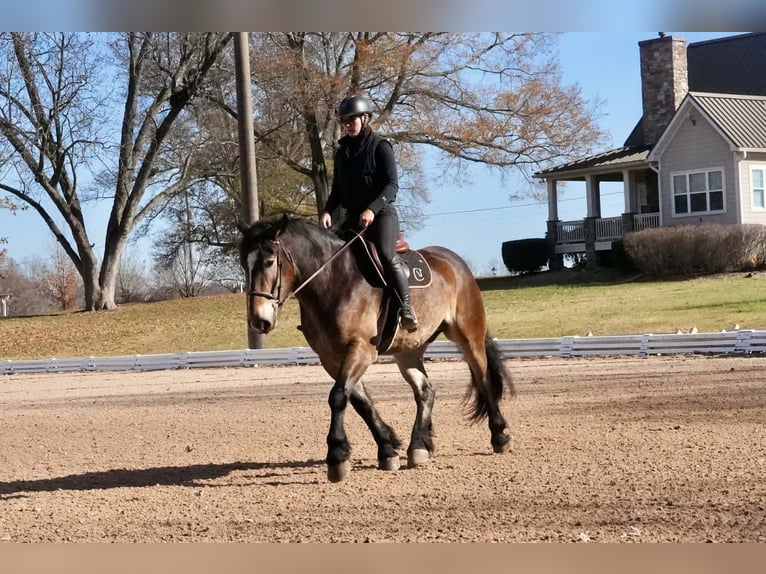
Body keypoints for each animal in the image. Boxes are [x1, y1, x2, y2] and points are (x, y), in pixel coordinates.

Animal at [239, 214, 515, 482]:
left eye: (269, 262)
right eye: (244, 264)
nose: (259, 320)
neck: (334, 280)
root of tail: (454, 262)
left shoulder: (361, 348)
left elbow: (338, 396)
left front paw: (337, 458)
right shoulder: (330, 357)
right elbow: (360, 401)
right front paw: (387, 449)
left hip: (468, 335)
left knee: (482, 378)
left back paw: (500, 435)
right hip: (408, 350)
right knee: (425, 391)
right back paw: (419, 446)